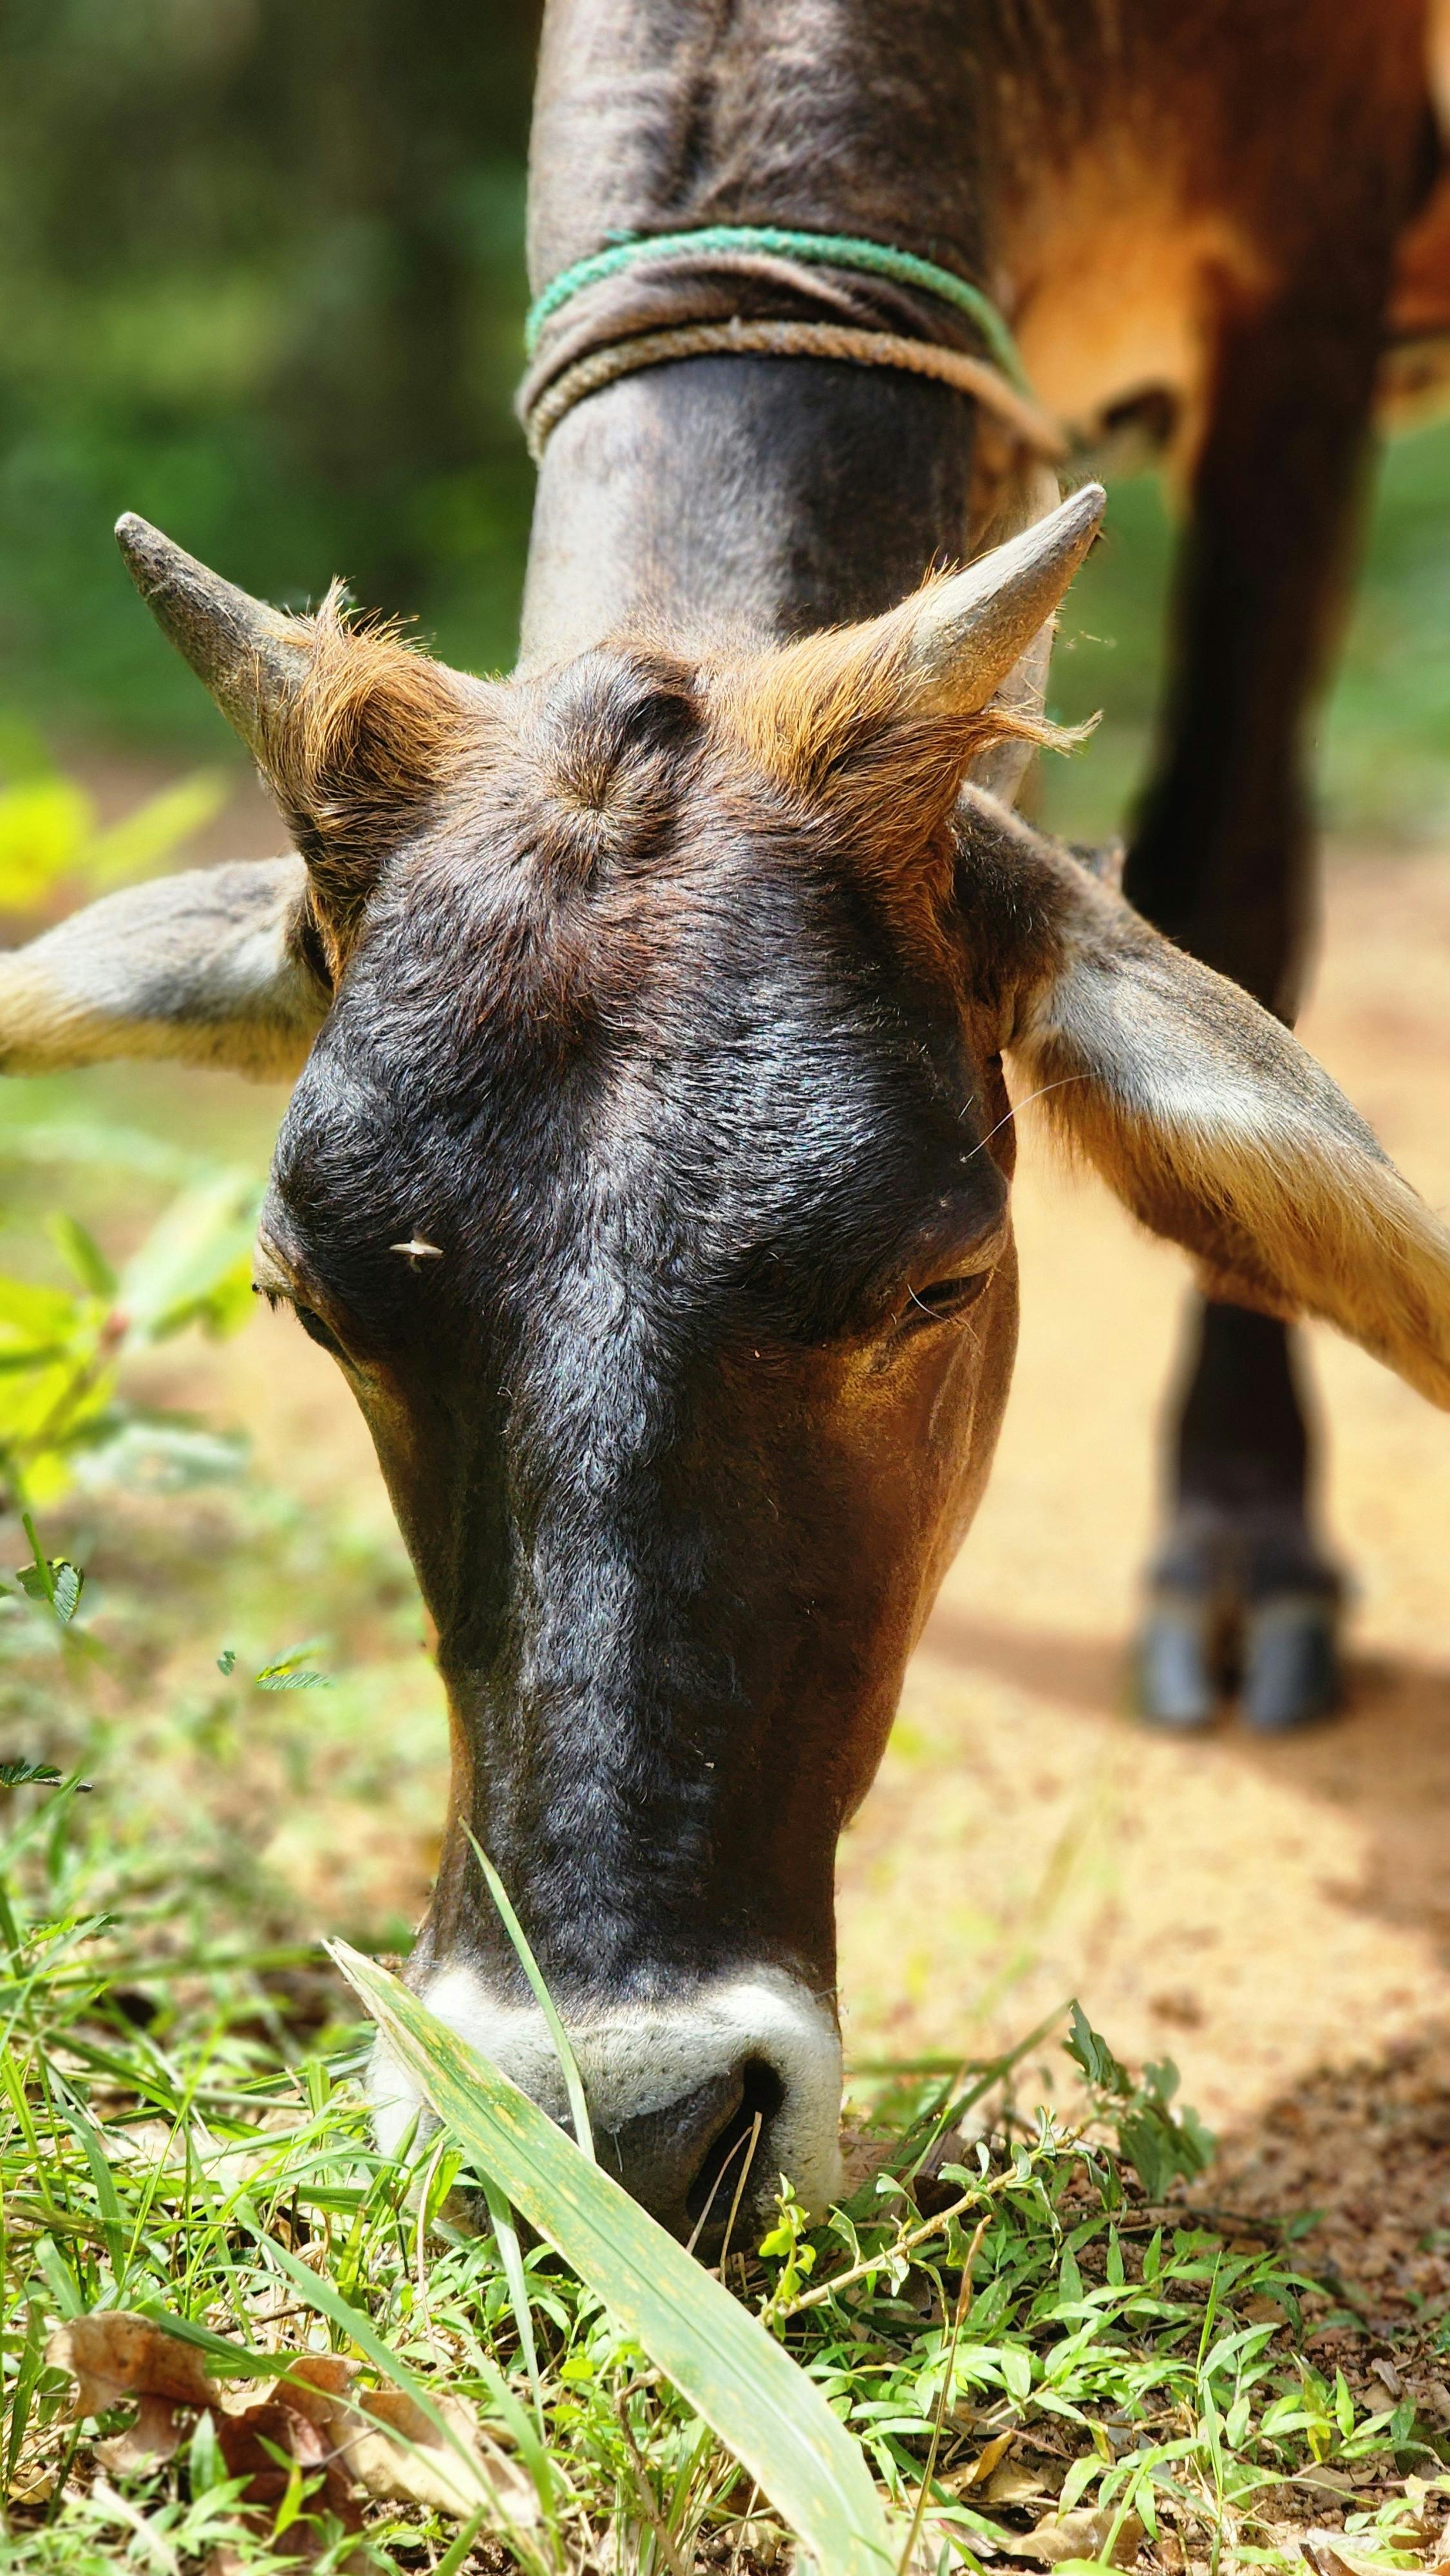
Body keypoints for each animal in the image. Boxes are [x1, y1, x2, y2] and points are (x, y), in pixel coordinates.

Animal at [8, 0, 1450, 2236]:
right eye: (310, 1303)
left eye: (942, 1278)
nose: (621, 2125)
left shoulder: (1303, 281)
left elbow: (1233, 866)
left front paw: (1241, 1549)